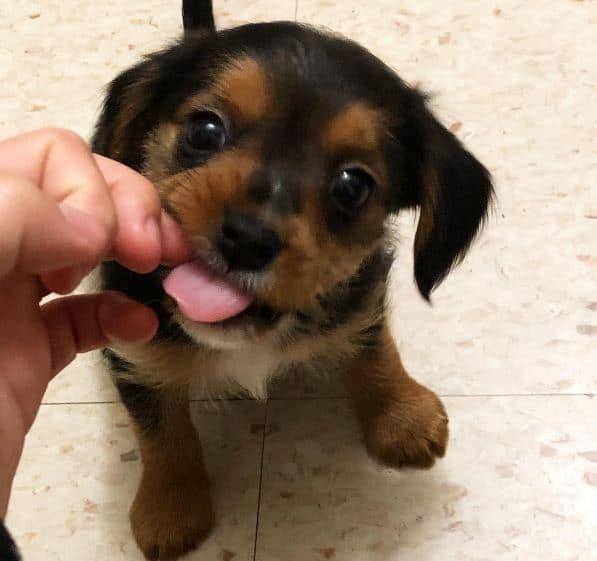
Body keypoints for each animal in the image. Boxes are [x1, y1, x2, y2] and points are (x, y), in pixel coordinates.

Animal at [93, 1, 492, 556]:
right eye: (204, 130)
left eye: (353, 186)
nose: (246, 239)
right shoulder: (136, 350)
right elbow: (161, 430)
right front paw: (170, 509)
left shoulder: (360, 296)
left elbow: (375, 347)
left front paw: (403, 416)